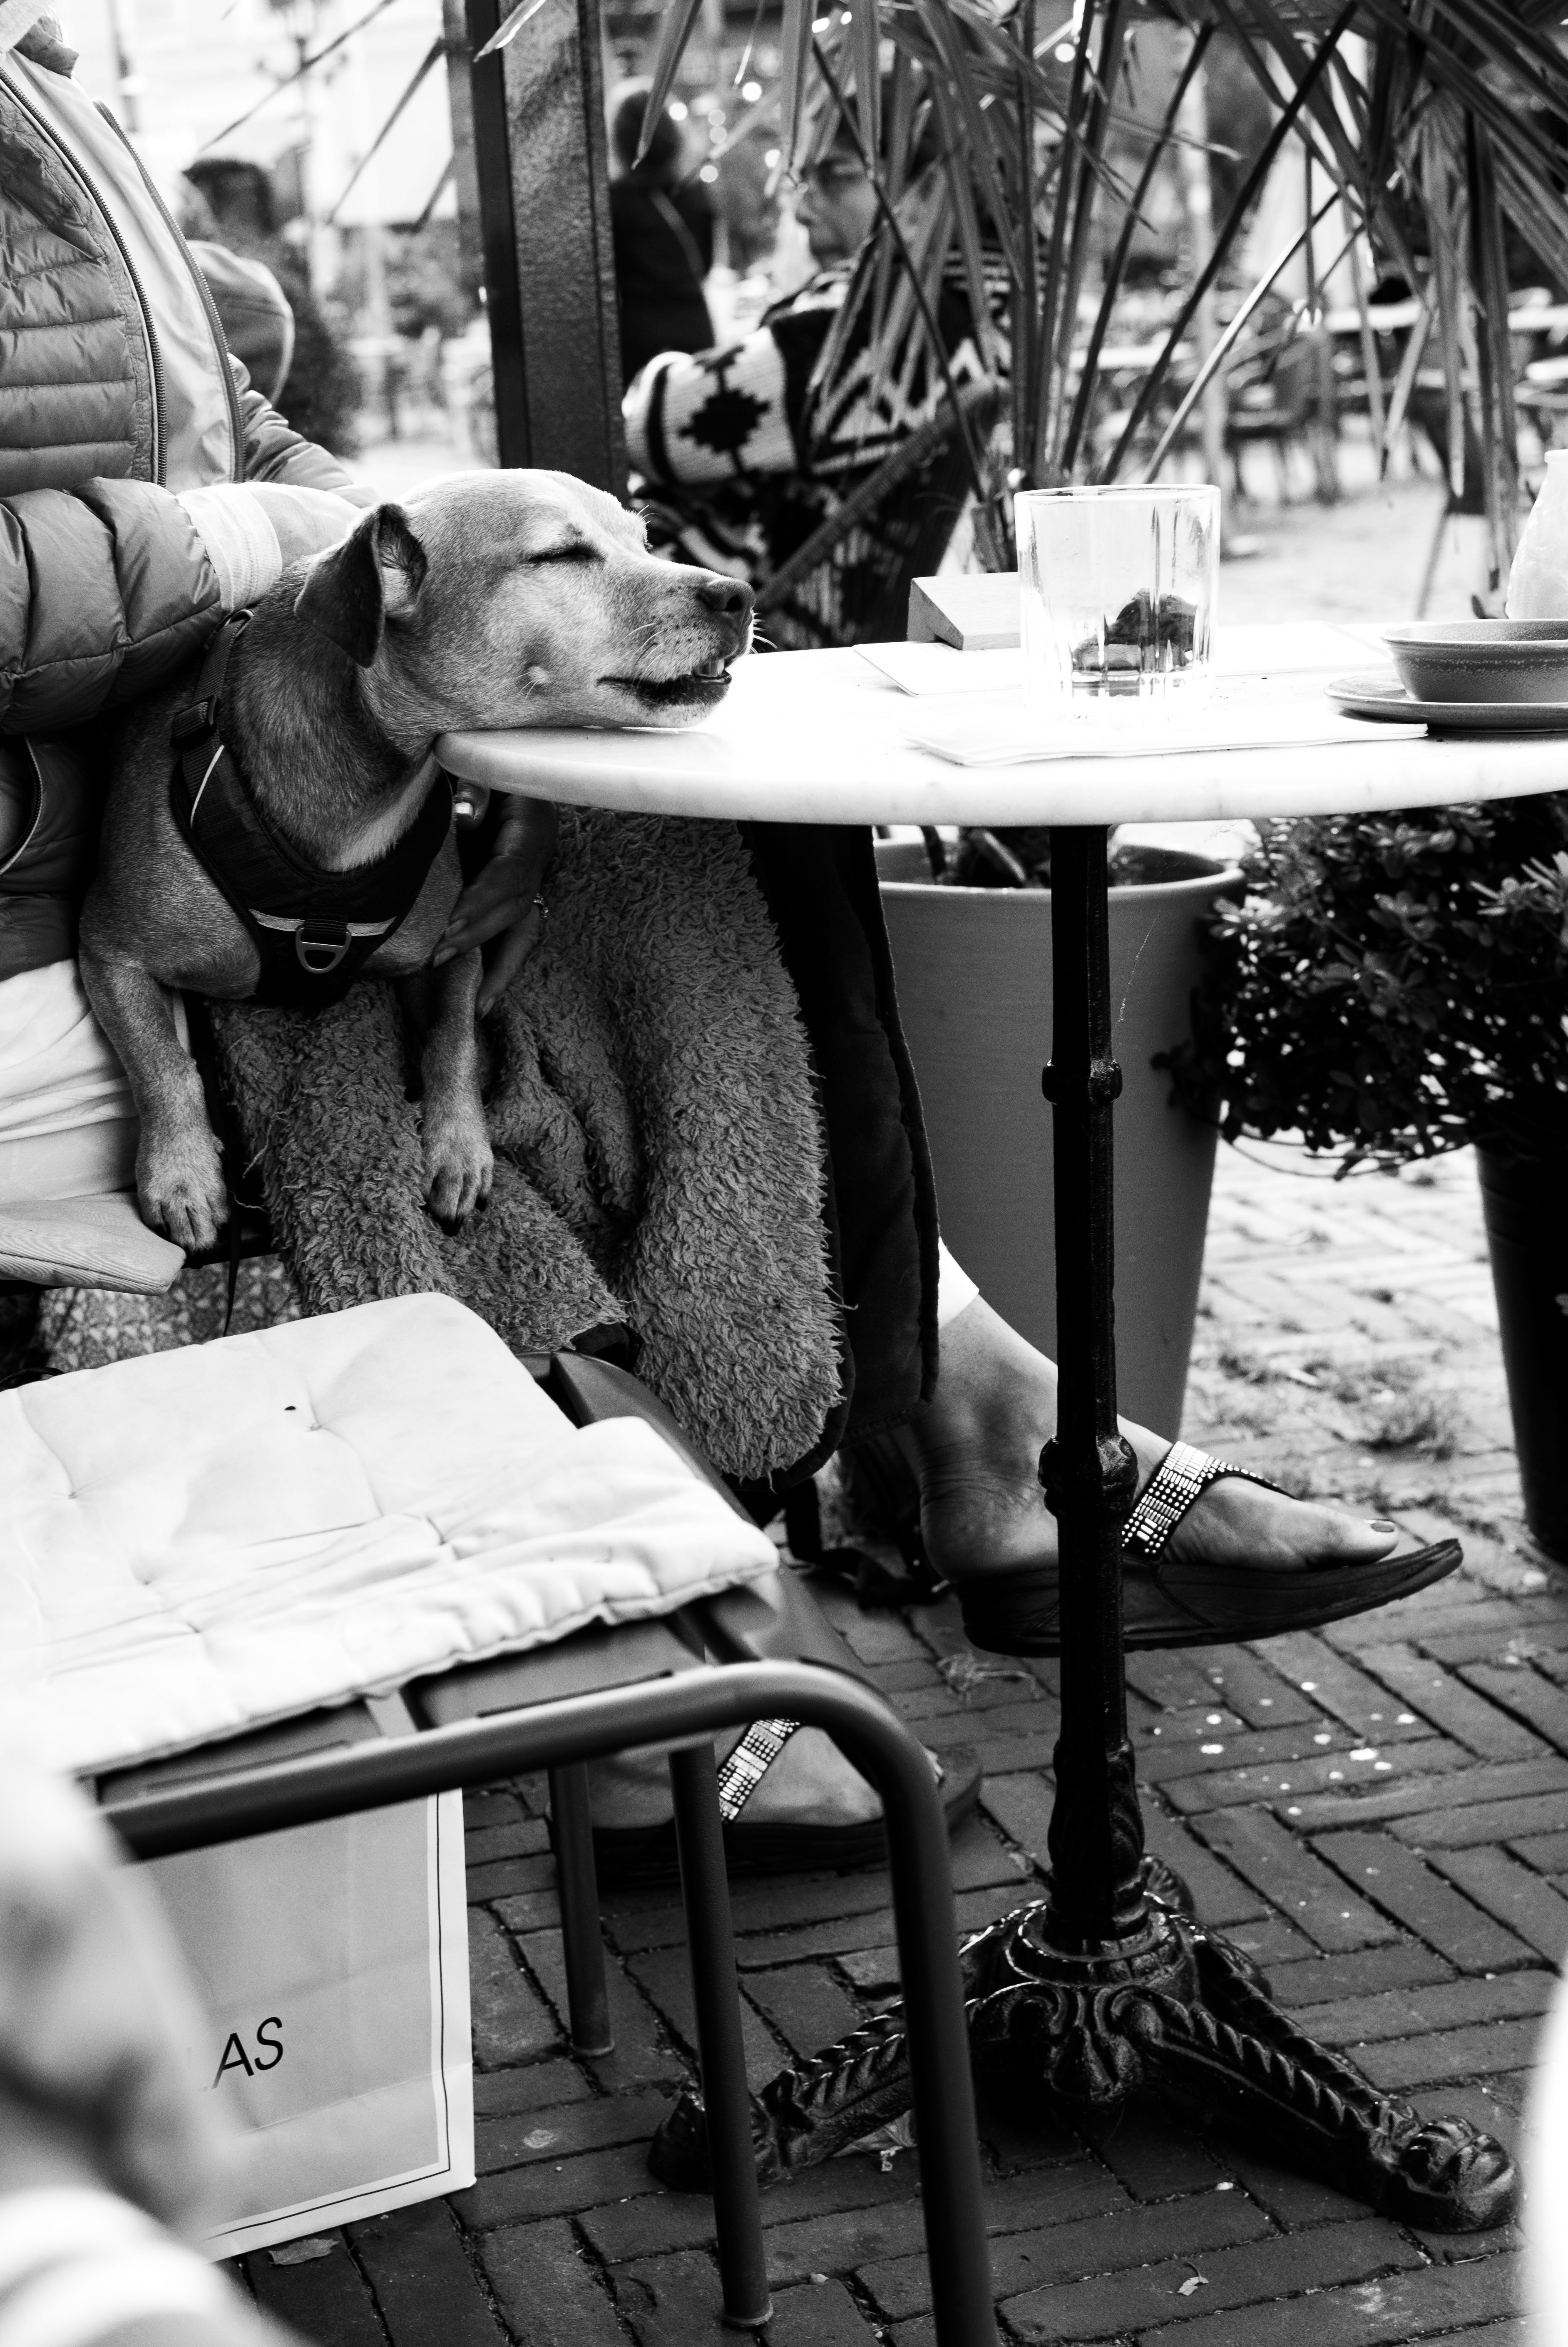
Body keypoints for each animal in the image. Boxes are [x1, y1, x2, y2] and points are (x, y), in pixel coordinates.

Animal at [78, 469, 754, 1254]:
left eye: (644, 542)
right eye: (559, 555)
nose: (738, 593)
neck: (363, 807)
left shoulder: (452, 948)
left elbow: (451, 1039)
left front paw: (459, 1145)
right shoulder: (109, 950)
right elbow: (162, 1061)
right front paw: (182, 1170)